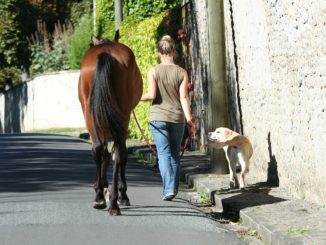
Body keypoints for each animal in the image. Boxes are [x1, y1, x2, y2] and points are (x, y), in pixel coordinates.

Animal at [77, 37, 143, 215]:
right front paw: (120, 193)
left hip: (93, 116)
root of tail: (106, 52)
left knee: (100, 150)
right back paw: (113, 202)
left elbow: (106, 155)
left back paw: (102, 198)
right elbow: (115, 156)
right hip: (121, 118)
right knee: (116, 152)